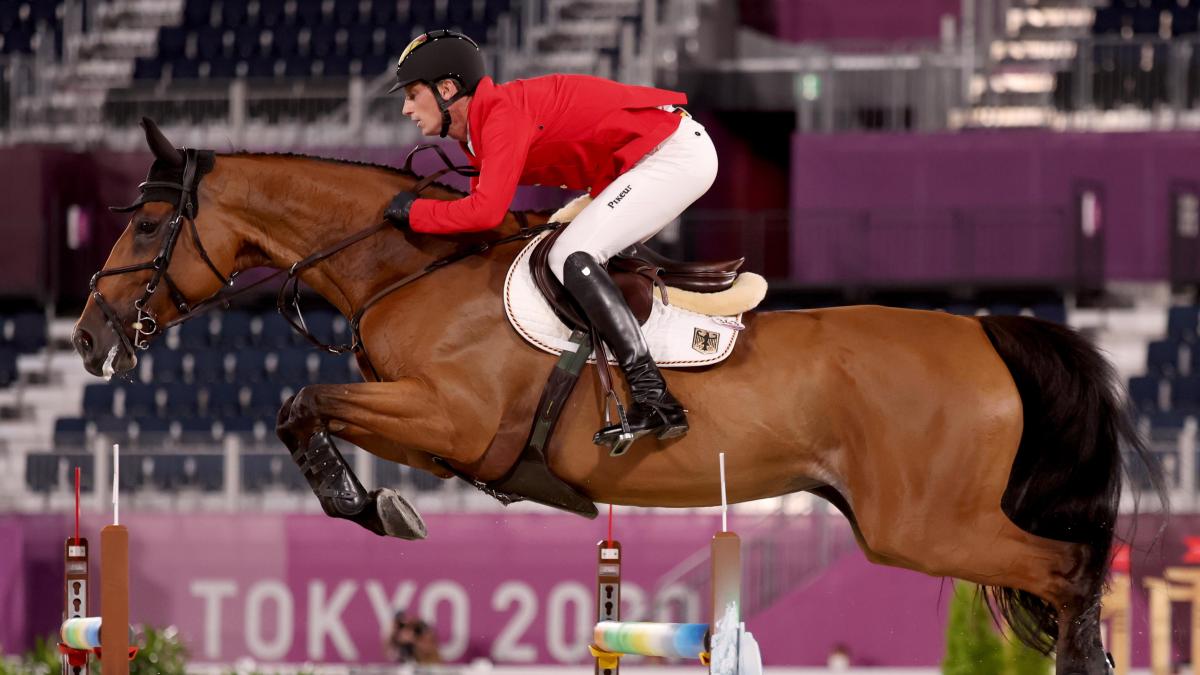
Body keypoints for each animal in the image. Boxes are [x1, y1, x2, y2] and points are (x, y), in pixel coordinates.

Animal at [70, 120, 1156, 672]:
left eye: (145, 228)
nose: (85, 338)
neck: (407, 266)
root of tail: (983, 331)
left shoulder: (453, 421)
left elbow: (300, 401)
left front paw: (375, 507)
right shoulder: (437, 429)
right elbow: (308, 408)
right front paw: (377, 500)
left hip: (921, 524)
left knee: (1068, 569)